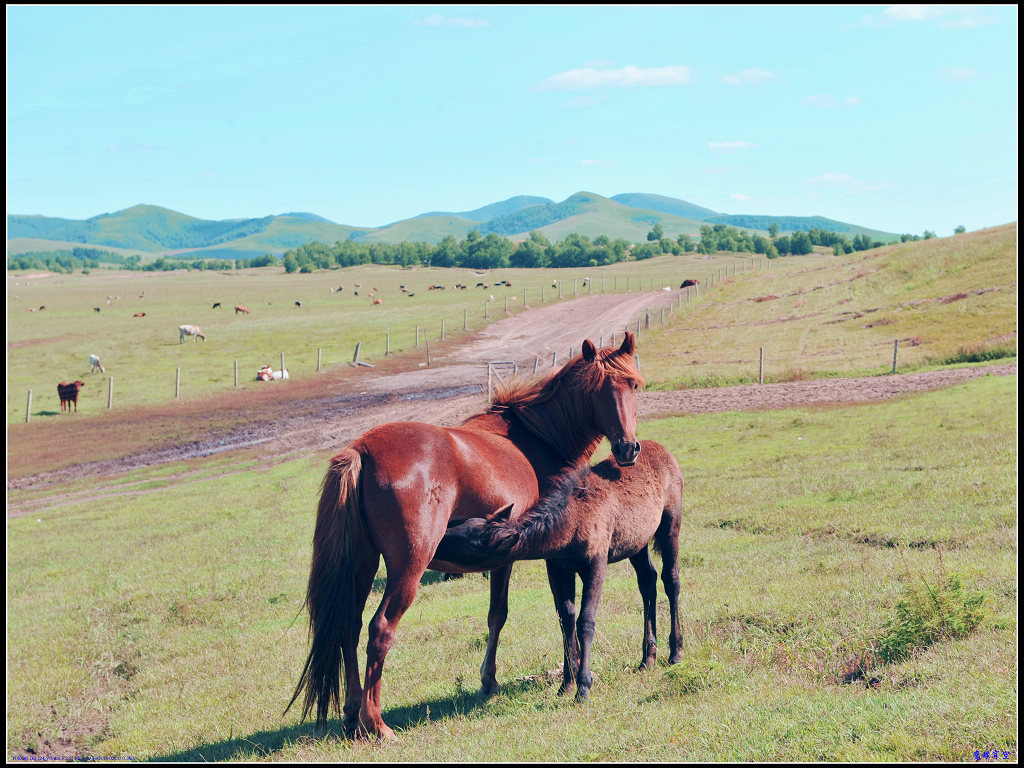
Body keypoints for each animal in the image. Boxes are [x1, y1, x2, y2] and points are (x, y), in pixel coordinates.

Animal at [288, 335, 638, 741]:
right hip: (408, 569)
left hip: (361, 566)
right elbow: (525, 614)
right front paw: (502, 681)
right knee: (380, 630)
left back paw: (351, 714)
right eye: (599, 389)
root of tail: (362, 450)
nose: (628, 448)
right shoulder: (537, 556)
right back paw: (376, 724)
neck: (536, 438)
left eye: (633, 385)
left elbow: (502, 615)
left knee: (350, 627)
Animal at [434, 438, 684, 704]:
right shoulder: (558, 567)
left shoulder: (596, 563)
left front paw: (583, 687)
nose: (437, 541)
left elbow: (586, 621)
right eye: (466, 524)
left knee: (671, 579)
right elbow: (566, 619)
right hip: (637, 543)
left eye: (469, 543)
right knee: (648, 580)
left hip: (670, 523)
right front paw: (566, 683)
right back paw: (648, 657)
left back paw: (675, 651)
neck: (569, 525)